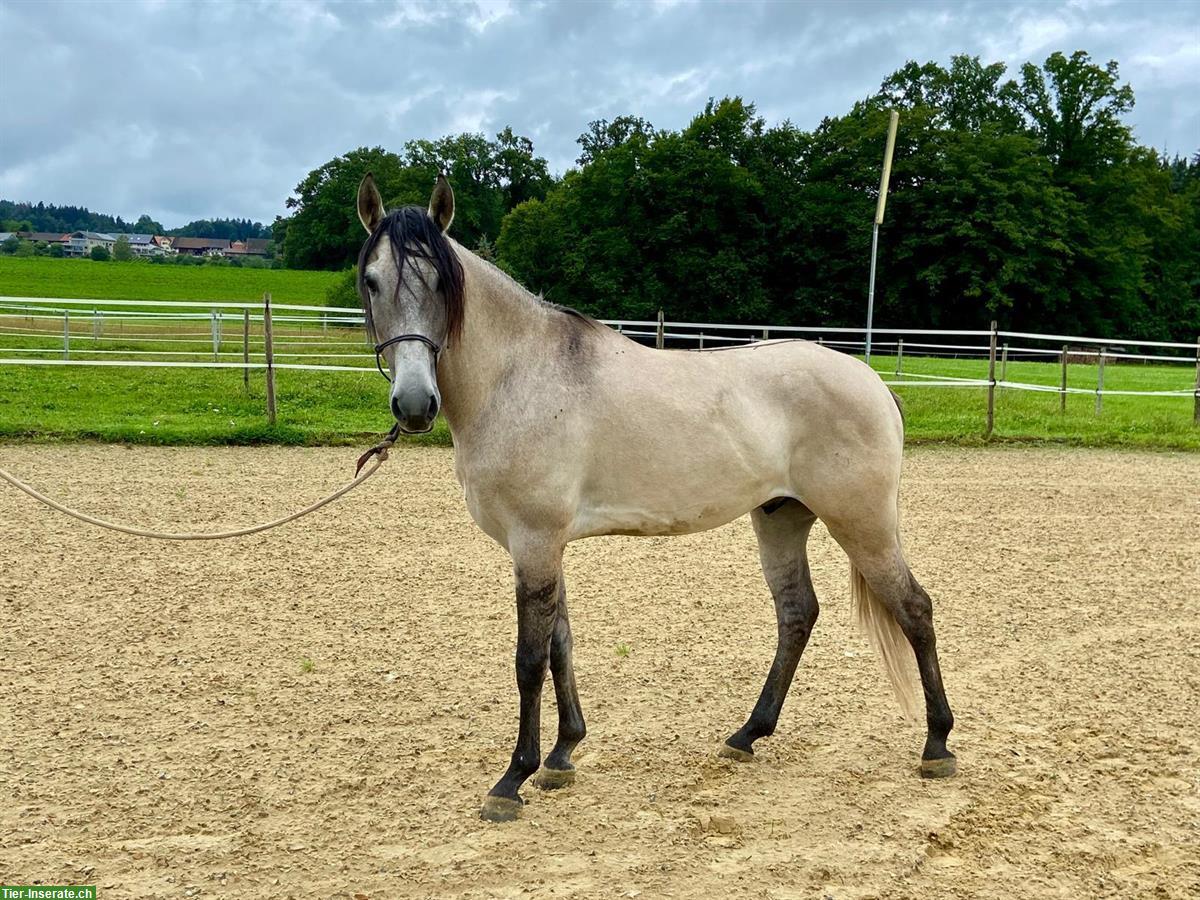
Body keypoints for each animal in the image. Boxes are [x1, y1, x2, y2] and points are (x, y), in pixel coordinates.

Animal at [352, 170, 955, 825]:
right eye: (371, 281)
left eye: (440, 282)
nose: (415, 405)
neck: (521, 376)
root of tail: (871, 380)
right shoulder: (545, 547)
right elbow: (561, 643)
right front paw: (563, 755)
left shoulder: (534, 542)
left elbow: (529, 660)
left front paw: (513, 778)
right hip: (780, 519)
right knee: (797, 614)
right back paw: (748, 734)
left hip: (862, 522)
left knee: (915, 609)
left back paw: (937, 745)